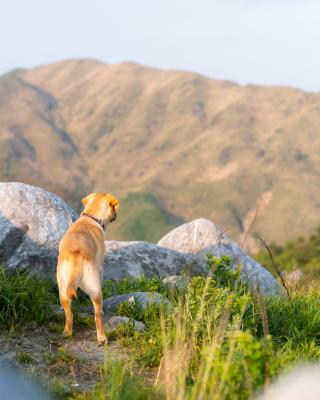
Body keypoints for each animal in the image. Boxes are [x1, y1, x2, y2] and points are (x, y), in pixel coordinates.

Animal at [56, 193, 120, 344]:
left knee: (69, 314)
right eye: (114, 208)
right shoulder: (100, 267)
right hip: (95, 289)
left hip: (63, 288)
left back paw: (67, 332)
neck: (90, 217)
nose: (115, 216)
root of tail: (76, 256)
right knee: (97, 316)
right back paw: (102, 338)